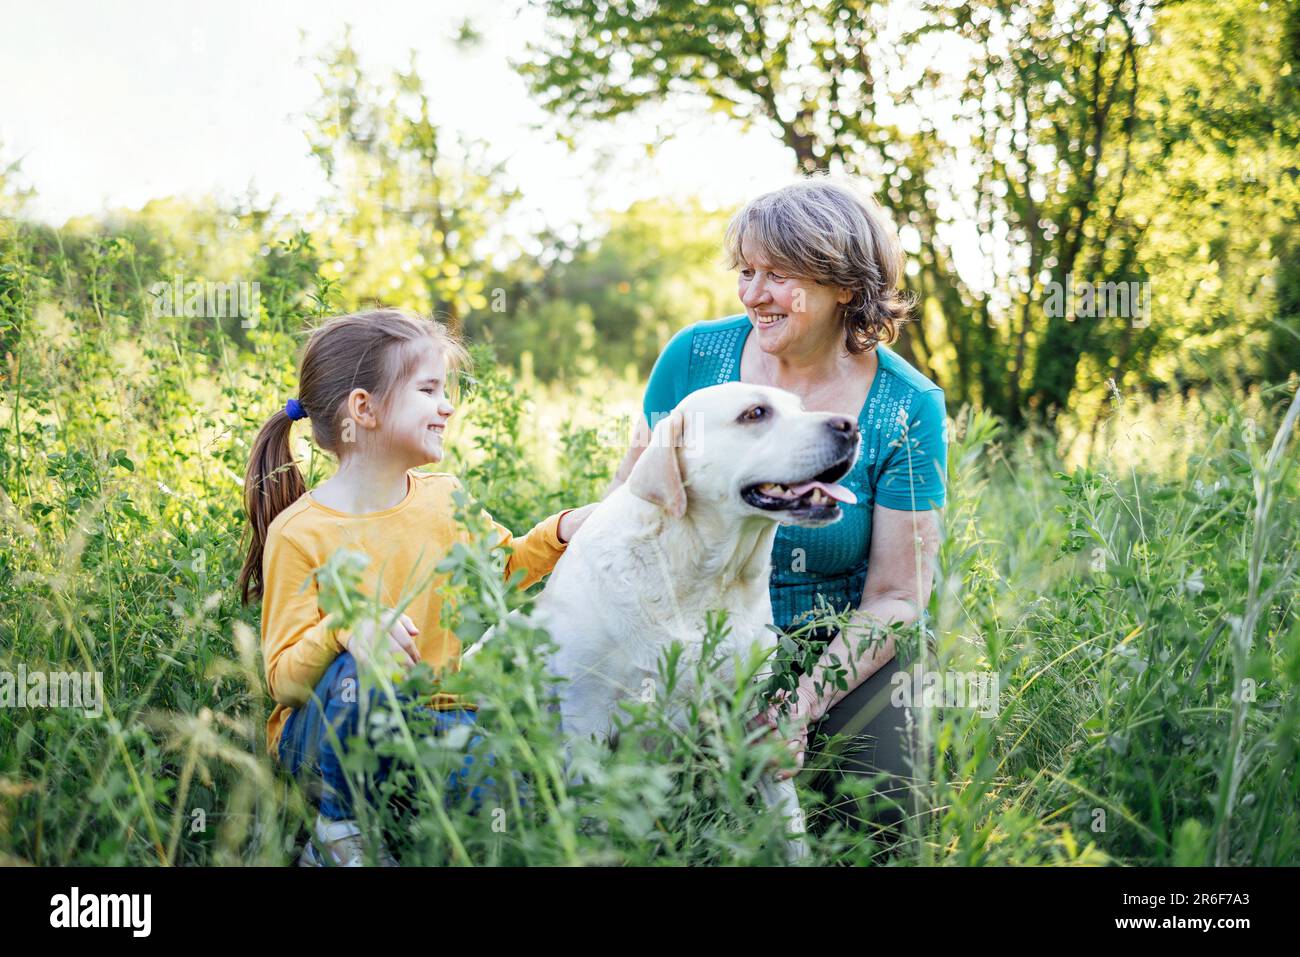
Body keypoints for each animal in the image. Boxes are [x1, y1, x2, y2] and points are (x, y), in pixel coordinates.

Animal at [517, 382, 863, 858]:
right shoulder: (585, 723)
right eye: (756, 413)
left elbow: (788, 819)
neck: (704, 575)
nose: (850, 425)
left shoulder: (754, 717)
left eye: (801, 407)